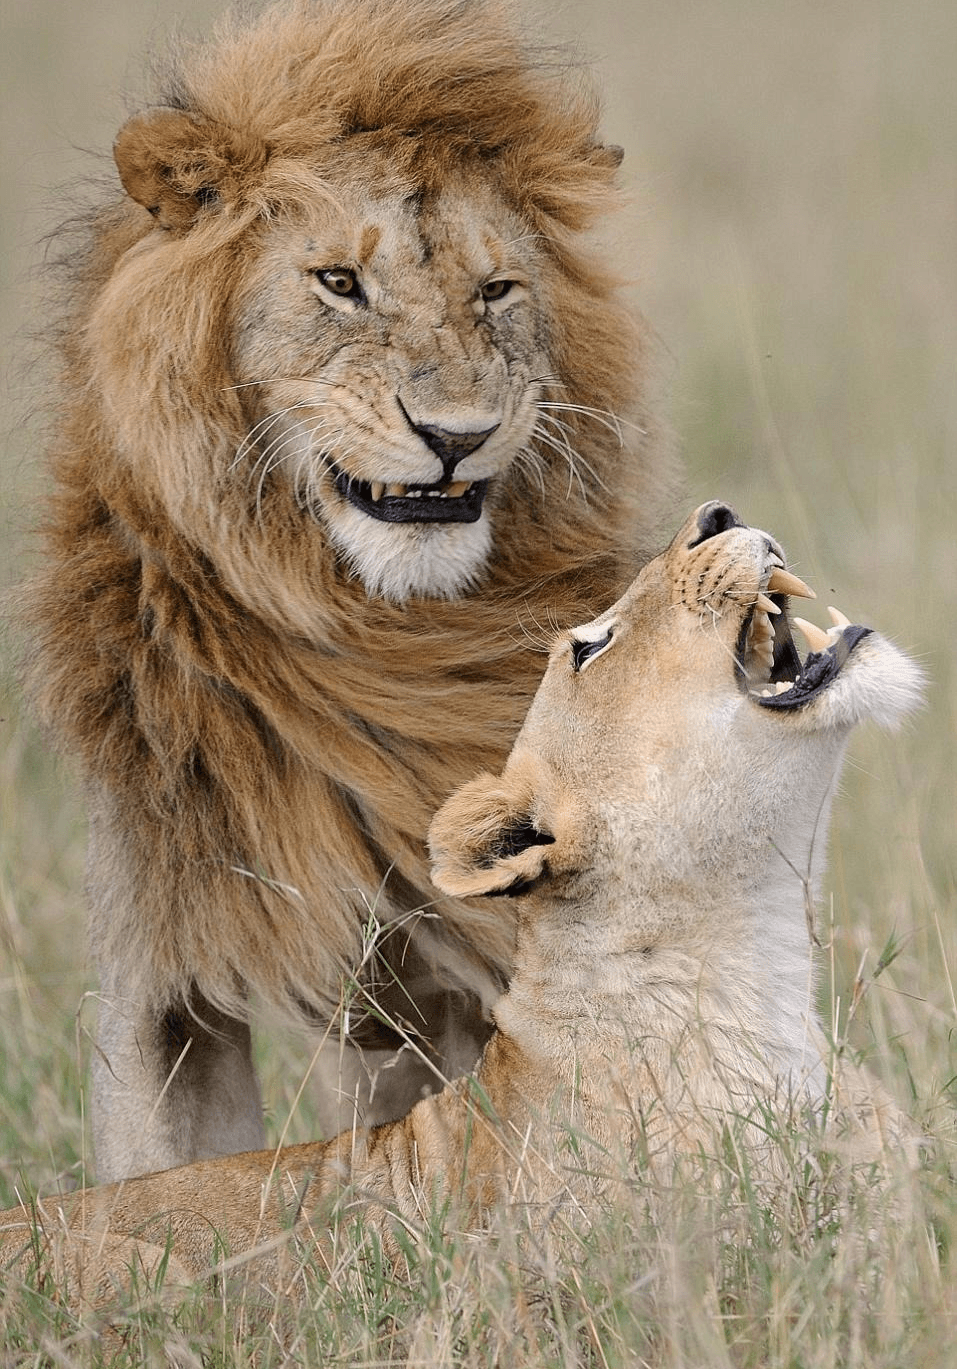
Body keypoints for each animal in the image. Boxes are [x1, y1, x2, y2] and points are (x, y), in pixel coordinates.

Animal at [19, 0, 675, 1181]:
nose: (456, 435)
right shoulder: (158, 966)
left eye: (495, 290)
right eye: (339, 283)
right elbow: (158, 1169)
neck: (379, 631)